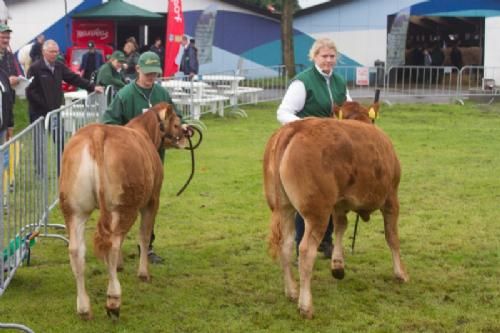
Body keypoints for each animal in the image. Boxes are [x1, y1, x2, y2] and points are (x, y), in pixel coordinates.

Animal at [59, 102, 188, 320]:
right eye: (177, 123)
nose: (188, 133)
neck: (144, 131)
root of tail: (97, 132)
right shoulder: (152, 200)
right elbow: (144, 236)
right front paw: (143, 273)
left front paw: (119, 266)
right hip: (124, 207)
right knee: (112, 245)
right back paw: (113, 301)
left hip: (74, 210)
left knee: (77, 251)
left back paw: (84, 308)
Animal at [264, 102, 408, 320]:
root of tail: (294, 128)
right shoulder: (391, 197)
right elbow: (392, 237)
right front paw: (400, 273)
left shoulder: (339, 204)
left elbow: (340, 228)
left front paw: (338, 266)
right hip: (317, 212)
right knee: (305, 250)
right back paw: (305, 306)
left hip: (283, 207)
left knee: (287, 245)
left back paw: (292, 291)